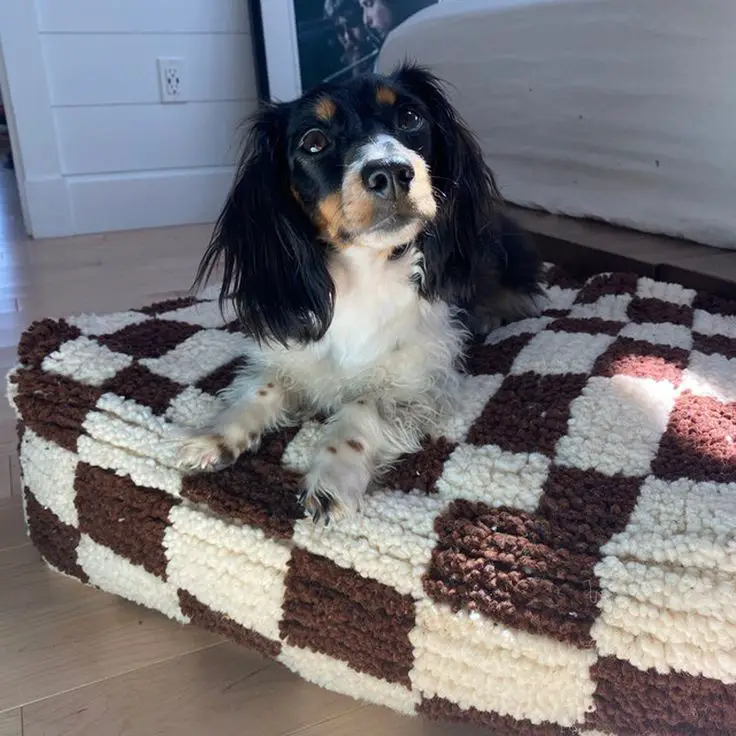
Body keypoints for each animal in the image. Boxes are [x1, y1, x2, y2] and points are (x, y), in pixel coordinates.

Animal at [175, 63, 544, 524]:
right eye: (314, 141)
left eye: (410, 117)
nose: (391, 172)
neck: (365, 272)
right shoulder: (292, 348)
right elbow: (263, 388)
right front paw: (215, 434)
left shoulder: (418, 378)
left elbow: (361, 408)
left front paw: (332, 476)